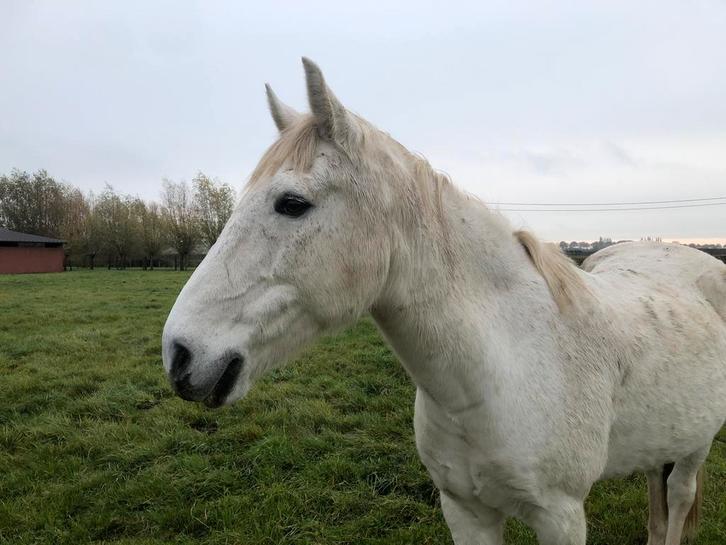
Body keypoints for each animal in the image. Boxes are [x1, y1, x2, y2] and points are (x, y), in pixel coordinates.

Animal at [161, 58, 726, 545]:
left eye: (292, 204)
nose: (180, 355)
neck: (503, 370)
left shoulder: (561, 517)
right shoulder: (464, 510)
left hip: (696, 443)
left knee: (678, 497)